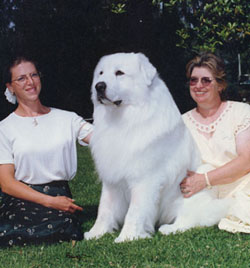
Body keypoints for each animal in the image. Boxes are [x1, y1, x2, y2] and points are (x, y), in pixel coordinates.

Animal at [84, 52, 230, 243]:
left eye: (119, 73)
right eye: (100, 73)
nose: (99, 86)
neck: (124, 119)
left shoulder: (144, 179)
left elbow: (135, 211)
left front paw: (127, 237)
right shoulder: (111, 179)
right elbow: (105, 209)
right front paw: (96, 233)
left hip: (199, 179)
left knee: (191, 219)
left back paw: (169, 229)